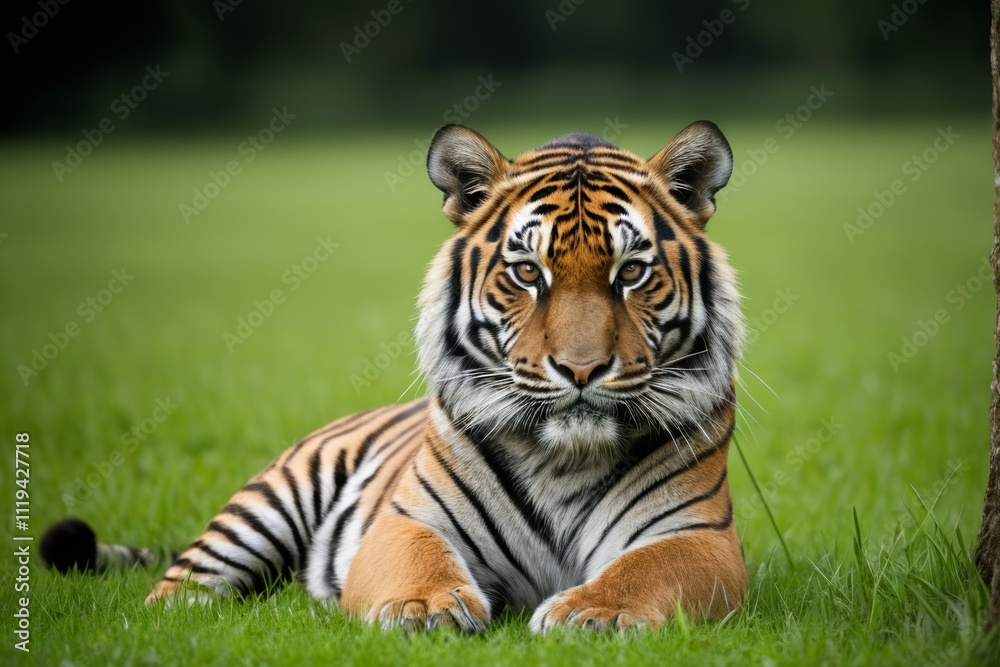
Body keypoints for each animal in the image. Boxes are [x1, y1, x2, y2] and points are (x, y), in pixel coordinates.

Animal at [43, 121, 747, 633]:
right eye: (527, 272)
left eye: (631, 272)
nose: (580, 368)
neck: (564, 459)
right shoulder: (407, 519)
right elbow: (418, 561)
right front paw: (424, 609)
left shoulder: (697, 535)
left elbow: (646, 571)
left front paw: (593, 611)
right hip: (263, 506)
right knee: (175, 591)